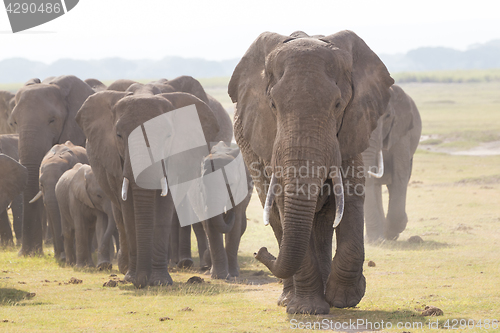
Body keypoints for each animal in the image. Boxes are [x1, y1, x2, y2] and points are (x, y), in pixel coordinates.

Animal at [77, 79, 233, 286]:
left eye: (168, 136)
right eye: (118, 135)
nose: (141, 281)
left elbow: (164, 205)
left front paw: (159, 281)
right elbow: (128, 207)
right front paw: (132, 278)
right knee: (119, 215)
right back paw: (125, 269)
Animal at [198, 141, 252, 278]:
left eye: (231, 184)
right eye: (204, 184)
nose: (228, 213)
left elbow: (236, 224)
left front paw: (232, 274)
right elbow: (210, 224)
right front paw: (219, 276)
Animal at [229, 29, 396, 312]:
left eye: (338, 105)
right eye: (273, 105)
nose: (259, 252)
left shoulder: (350, 132)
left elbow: (352, 197)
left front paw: (344, 300)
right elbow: (285, 204)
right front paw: (306, 309)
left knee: (323, 223)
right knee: (278, 220)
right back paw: (288, 298)